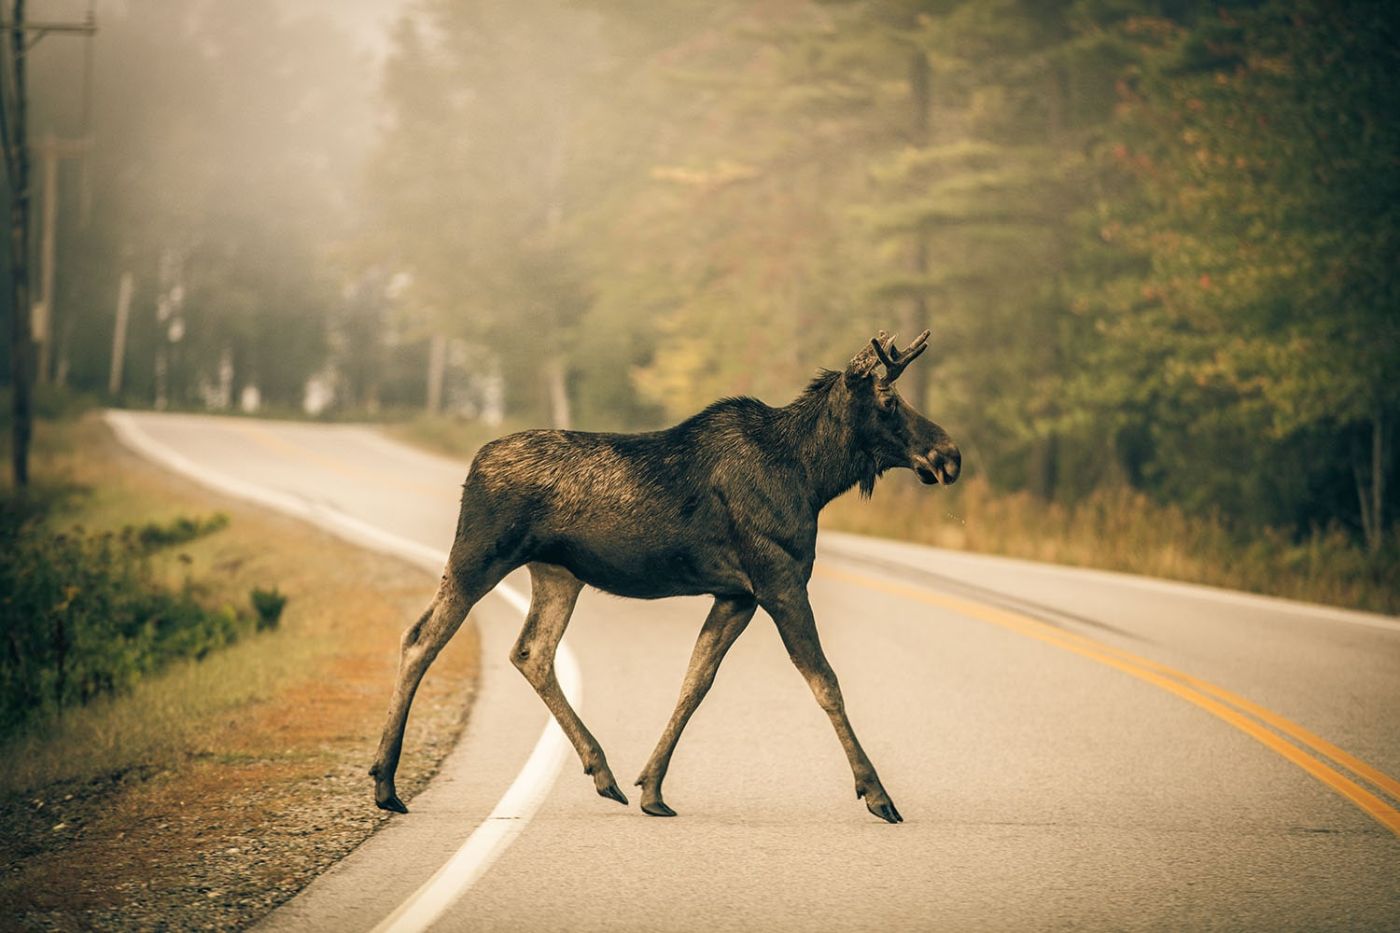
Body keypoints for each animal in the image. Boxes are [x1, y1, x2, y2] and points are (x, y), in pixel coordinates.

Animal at [369, 329, 963, 823]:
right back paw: (385, 783)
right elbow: (825, 681)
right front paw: (878, 794)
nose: (949, 454)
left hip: (558, 573)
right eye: (889, 401)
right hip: (478, 555)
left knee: (531, 651)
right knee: (421, 637)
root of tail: (473, 466)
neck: (813, 477)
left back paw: (604, 772)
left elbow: (696, 680)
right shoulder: (780, 580)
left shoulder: (736, 595)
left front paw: (652, 788)